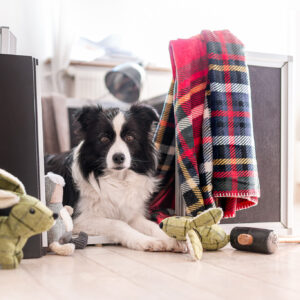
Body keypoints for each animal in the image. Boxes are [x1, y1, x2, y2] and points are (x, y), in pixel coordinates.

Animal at [45, 104, 184, 252]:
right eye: (104, 139)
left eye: (130, 137)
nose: (118, 157)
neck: (117, 178)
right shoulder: (78, 219)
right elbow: (118, 224)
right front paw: (147, 241)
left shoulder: (130, 214)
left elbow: (152, 225)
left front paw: (171, 240)